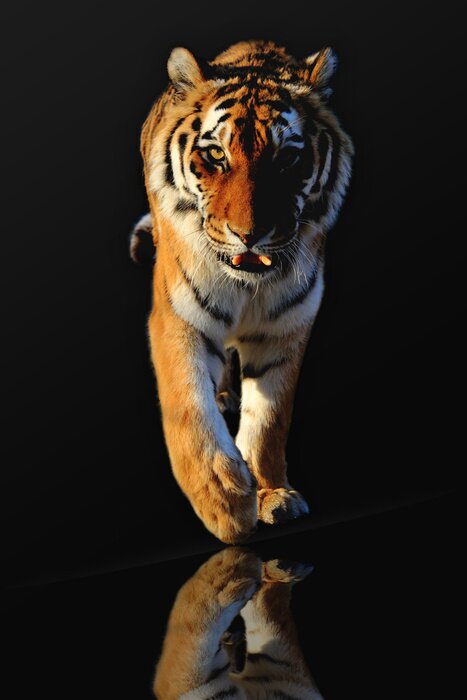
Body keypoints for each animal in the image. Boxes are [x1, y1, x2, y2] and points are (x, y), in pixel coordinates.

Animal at [131, 40, 353, 544]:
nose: (248, 235)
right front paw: (224, 502)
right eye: (215, 155)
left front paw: (272, 494)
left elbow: (270, 419)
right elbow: (187, 408)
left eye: (287, 158)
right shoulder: (178, 317)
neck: (248, 286)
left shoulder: (287, 325)